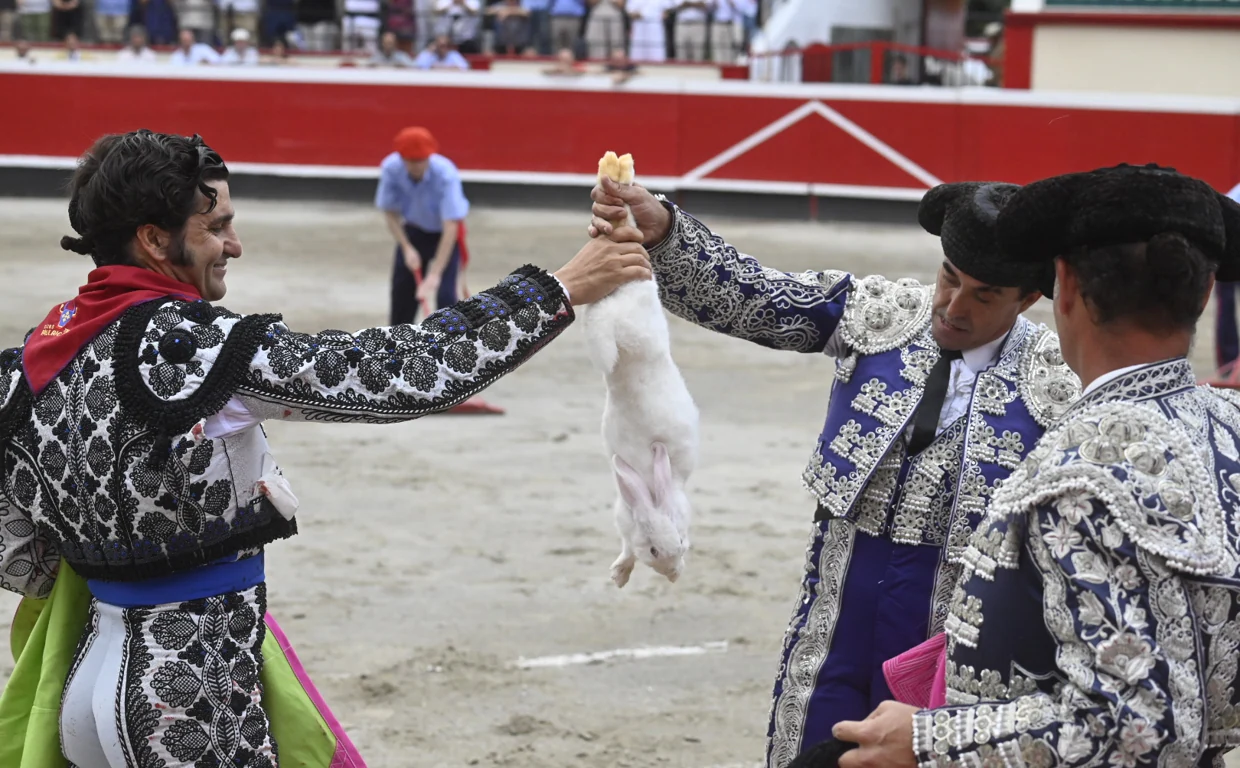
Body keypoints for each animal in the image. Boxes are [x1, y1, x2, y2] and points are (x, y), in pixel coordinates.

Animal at [577, 151, 699, 588]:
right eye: (654, 551)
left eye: (683, 542)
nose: (674, 574)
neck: (651, 485)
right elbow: (625, 546)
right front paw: (620, 575)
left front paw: (619, 575)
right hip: (628, 322)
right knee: (605, 335)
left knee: (602, 328)